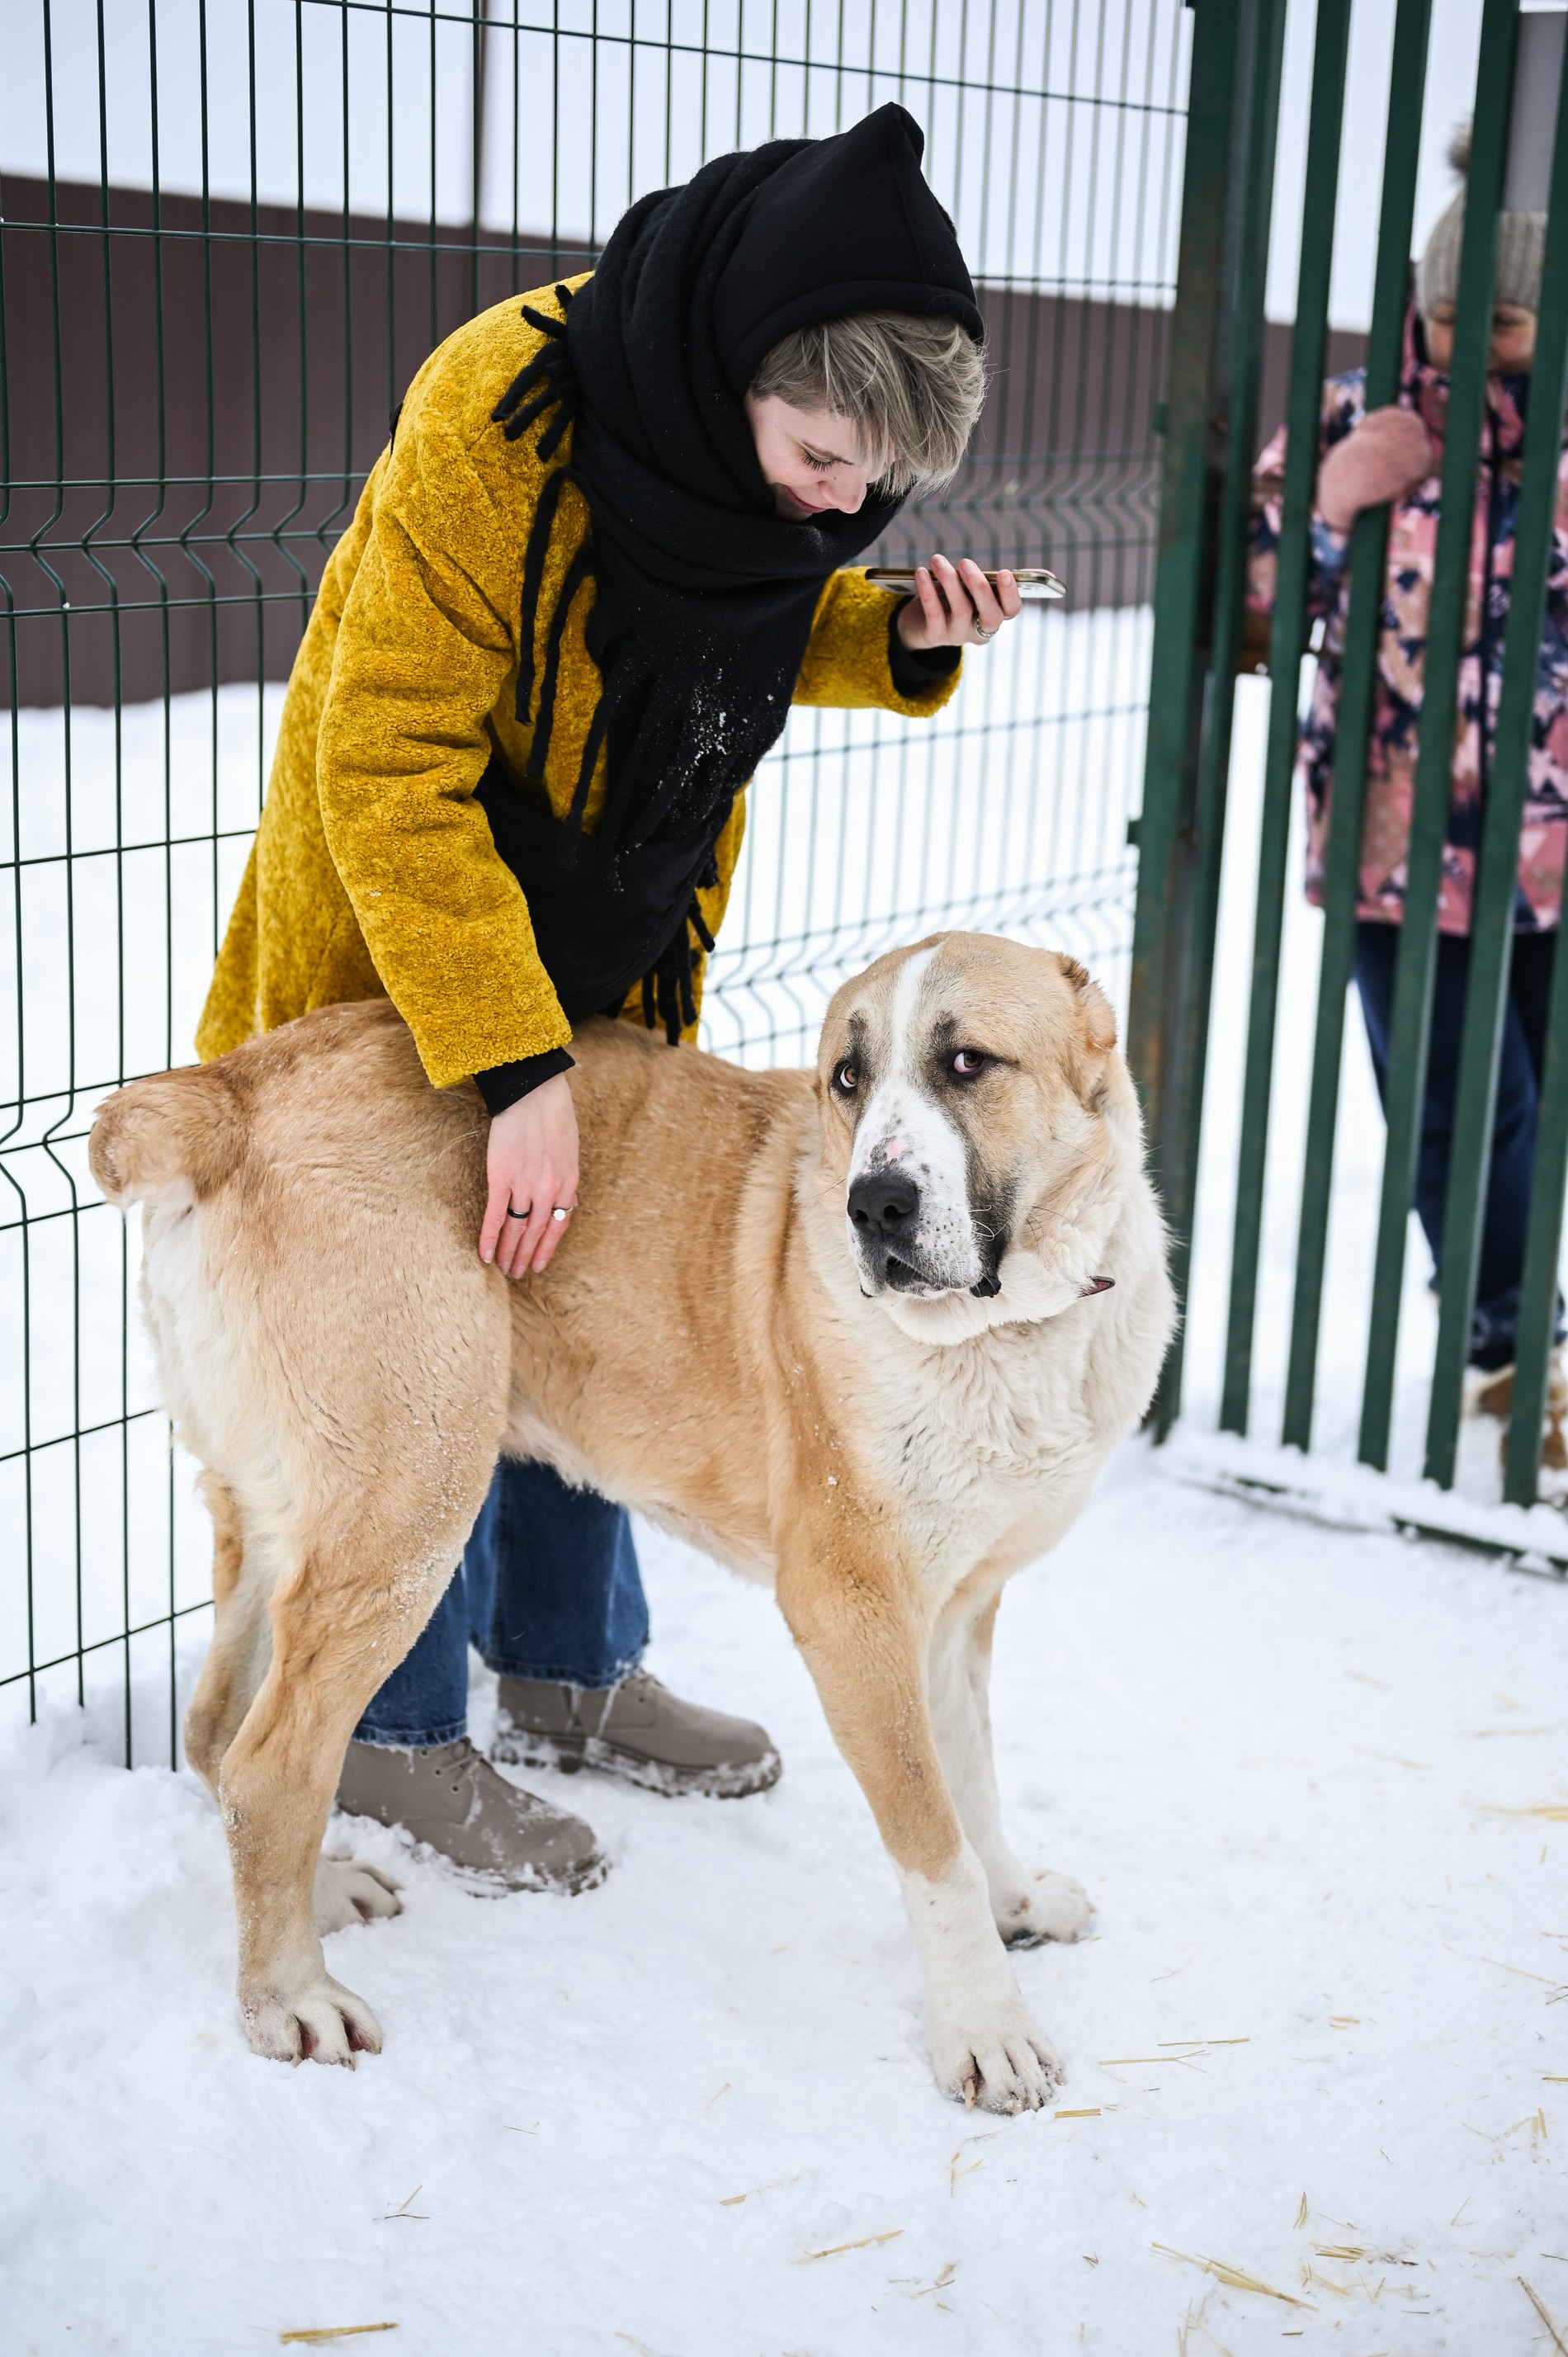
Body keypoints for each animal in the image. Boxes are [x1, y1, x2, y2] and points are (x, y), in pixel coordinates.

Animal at [85, 928, 1159, 2111]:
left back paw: (317, 1893)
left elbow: (975, 1787)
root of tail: (226, 1092)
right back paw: (291, 1999)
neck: (1007, 1332)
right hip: (413, 1500)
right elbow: (934, 1841)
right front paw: (986, 2029)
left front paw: (1016, 1906)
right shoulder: (853, 1612)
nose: (872, 1205)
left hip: (282, 1520)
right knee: (275, 1765)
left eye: (967, 1063)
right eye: (847, 1078)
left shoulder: (960, 1607)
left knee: (220, 1734)